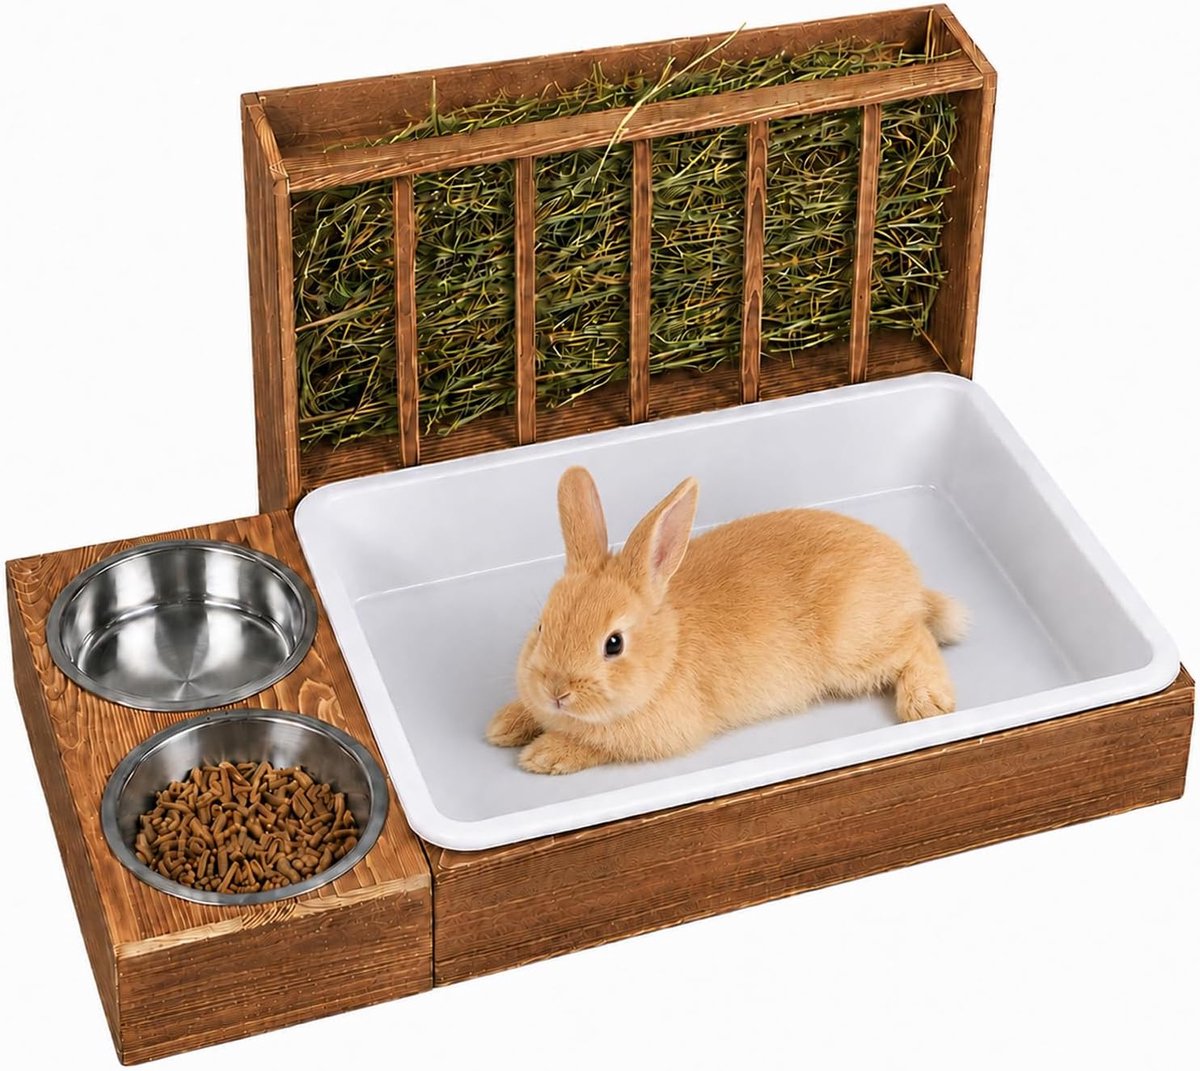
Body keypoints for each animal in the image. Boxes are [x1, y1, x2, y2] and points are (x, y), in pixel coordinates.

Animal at [486, 466, 967, 775]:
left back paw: (926, 703)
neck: (668, 650)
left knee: (918, 640)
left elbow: (596, 745)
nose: (557, 691)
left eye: (614, 644)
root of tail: (910, 581)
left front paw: (544, 756)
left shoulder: (655, 735)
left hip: (854, 648)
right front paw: (504, 726)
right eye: (542, 626)